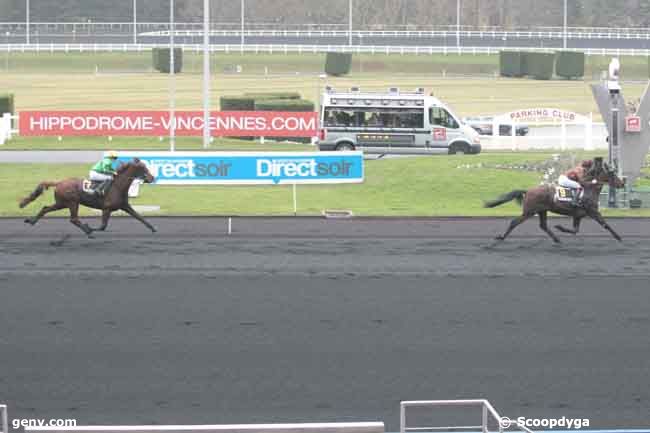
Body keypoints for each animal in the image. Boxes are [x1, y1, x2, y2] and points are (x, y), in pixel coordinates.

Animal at [20, 157, 156, 236]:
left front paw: (153, 228)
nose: (152, 178)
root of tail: (59, 182)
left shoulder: (124, 206)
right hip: (72, 203)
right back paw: (88, 231)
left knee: (45, 208)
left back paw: (31, 221)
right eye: (143, 168)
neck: (118, 186)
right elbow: (102, 226)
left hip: (62, 203)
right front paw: (89, 227)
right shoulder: (107, 208)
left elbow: (139, 217)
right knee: (73, 219)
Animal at [484, 157, 624, 241]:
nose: (622, 183)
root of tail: (528, 191)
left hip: (542, 211)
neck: (590, 190)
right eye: (612, 174)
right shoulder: (593, 212)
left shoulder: (578, 215)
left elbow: (575, 230)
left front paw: (560, 228)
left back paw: (557, 239)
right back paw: (501, 237)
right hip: (529, 211)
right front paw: (618, 237)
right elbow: (605, 224)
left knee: (543, 225)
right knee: (514, 222)